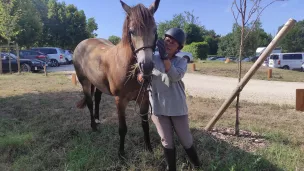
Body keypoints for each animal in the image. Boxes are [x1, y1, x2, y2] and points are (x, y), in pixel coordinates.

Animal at [72, 0, 160, 156]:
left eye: (155, 30)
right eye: (131, 31)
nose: (147, 66)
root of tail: (82, 44)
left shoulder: (143, 99)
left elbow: (145, 125)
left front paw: (148, 148)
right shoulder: (120, 101)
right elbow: (122, 128)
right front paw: (121, 154)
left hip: (98, 83)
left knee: (97, 99)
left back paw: (97, 119)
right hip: (85, 82)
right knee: (89, 102)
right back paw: (94, 126)